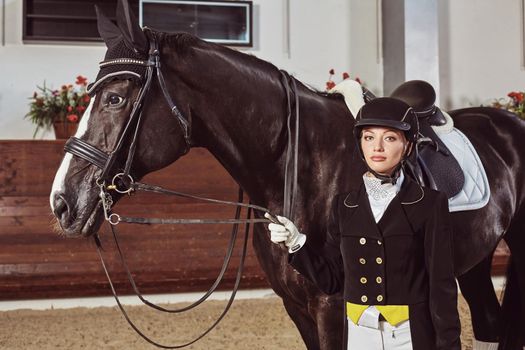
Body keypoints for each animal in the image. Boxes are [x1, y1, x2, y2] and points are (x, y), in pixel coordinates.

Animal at [49, 1, 524, 348]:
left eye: (114, 98)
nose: (62, 202)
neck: (304, 170)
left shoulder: (333, 307)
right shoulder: (297, 307)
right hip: (472, 260)